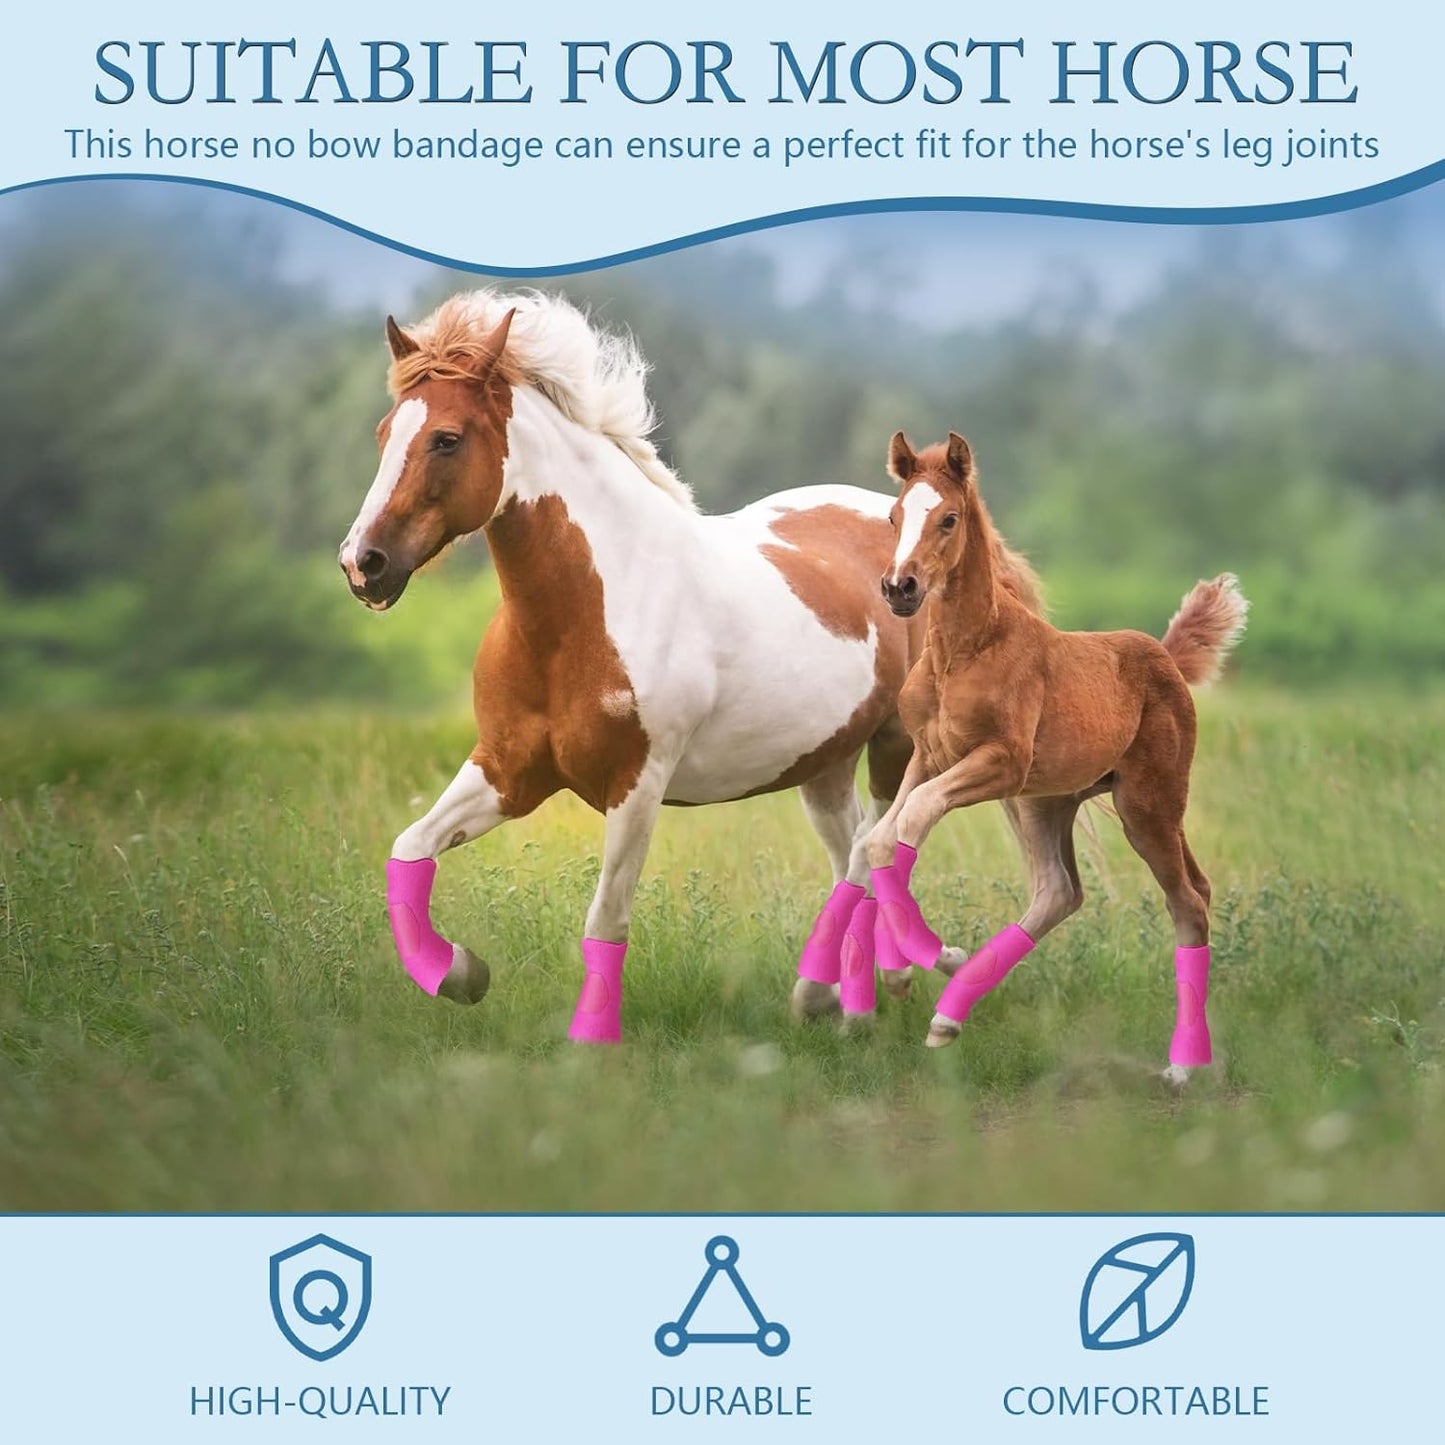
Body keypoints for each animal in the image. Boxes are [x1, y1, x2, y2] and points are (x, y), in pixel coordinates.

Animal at [338, 289, 1050, 1040]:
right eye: (385, 432)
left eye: (446, 438)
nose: (363, 564)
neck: (584, 614)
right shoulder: (507, 770)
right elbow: (409, 848)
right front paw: (461, 973)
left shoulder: (636, 786)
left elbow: (606, 920)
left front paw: (590, 1041)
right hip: (824, 763)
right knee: (852, 851)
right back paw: (859, 989)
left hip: (895, 747)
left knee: (873, 849)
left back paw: (862, 984)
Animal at [859, 429, 1247, 1078]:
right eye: (893, 516)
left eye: (948, 518)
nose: (899, 588)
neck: (963, 651)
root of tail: (1165, 658)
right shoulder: (929, 757)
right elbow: (883, 838)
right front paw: (906, 971)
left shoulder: (1000, 760)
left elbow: (913, 818)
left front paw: (931, 953)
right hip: (1046, 803)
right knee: (1061, 891)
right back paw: (948, 1017)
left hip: (1147, 806)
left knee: (1189, 901)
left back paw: (1182, 1066)